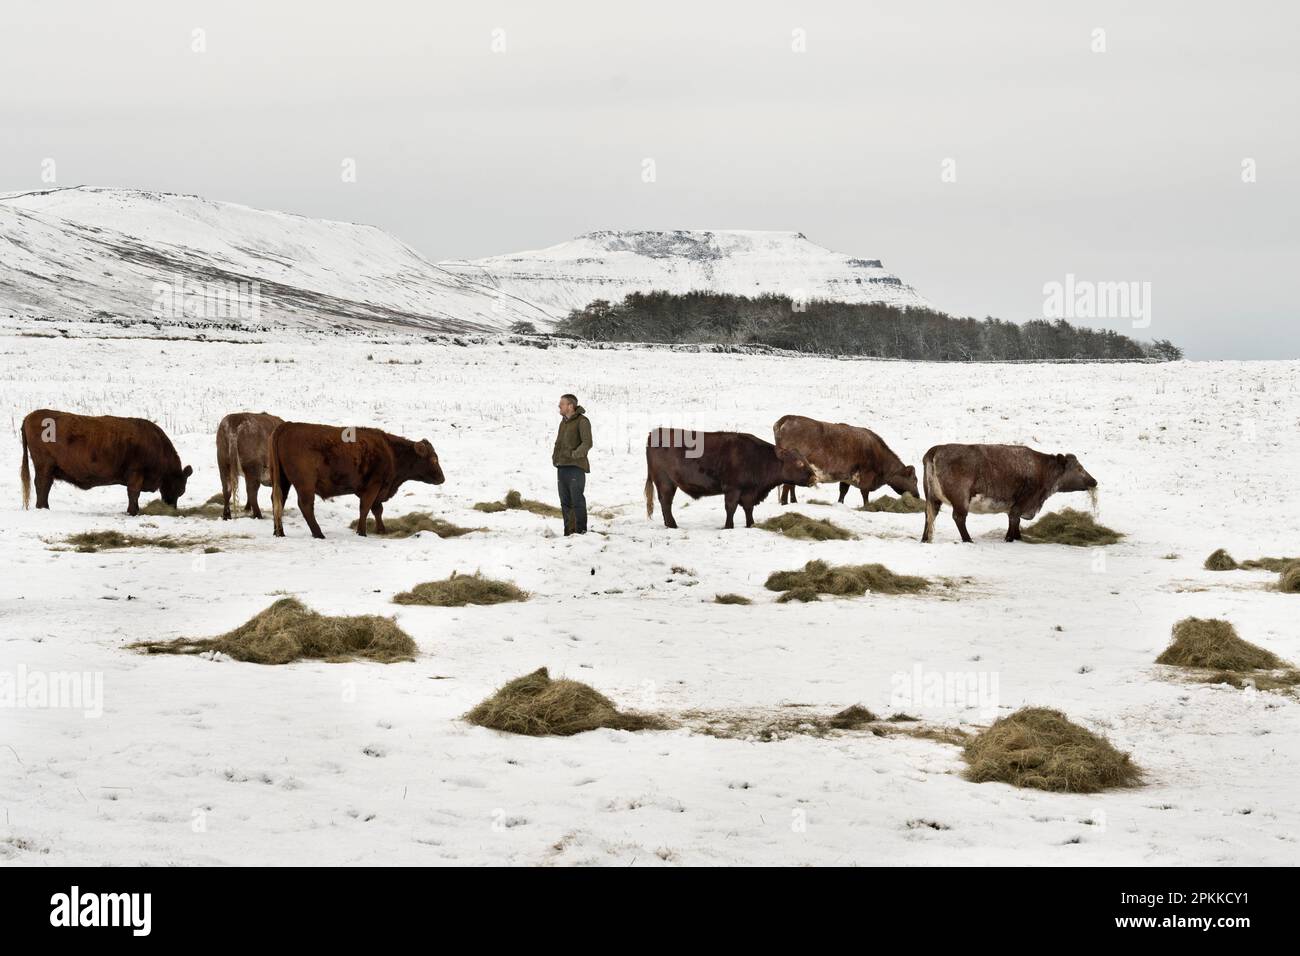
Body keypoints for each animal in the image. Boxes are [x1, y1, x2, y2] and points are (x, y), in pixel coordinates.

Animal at [20, 411, 191, 515]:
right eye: (181, 488)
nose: (172, 508)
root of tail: (30, 415)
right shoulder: (136, 472)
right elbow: (133, 493)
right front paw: (133, 511)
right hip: (44, 466)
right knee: (42, 485)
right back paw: (43, 507)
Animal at [266, 421, 444, 538]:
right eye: (434, 459)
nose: (442, 479)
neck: (390, 452)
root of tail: (287, 425)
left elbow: (377, 510)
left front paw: (381, 530)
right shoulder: (373, 486)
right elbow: (365, 508)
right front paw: (362, 532)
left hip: (283, 481)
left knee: (278, 501)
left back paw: (278, 532)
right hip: (305, 485)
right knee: (305, 506)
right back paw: (318, 533)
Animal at [647, 431, 816, 530]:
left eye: (805, 460)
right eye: (798, 463)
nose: (813, 477)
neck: (758, 458)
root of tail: (655, 433)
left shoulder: (749, 491)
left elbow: (748, 508)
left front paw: (751, 524)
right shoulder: (733, 489)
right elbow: (731, 508)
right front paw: (729, 526)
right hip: (666, 483)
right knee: (666, 502)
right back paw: (672, 524)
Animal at [774, 416, 920, 512]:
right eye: (915, 480)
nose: (918, 496)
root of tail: (786, 418)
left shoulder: (846, 476)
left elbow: (843, 492)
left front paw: (840, 504)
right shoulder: (866, 475)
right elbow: (865, 493)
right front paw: (867, 507)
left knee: (791, 485)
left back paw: (793, 502)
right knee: (787, 485)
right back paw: (784, 503)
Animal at [920, 442, 1102, 541]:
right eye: (1079, 468)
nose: (1094, 481)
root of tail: (936, 449)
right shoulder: (1022, 502)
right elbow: (1014, 520)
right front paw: (1011, 538)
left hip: (932, 497)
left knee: (929, 515)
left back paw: (925, 539)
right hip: (960, 498)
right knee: (958, 518)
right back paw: (968, 540)